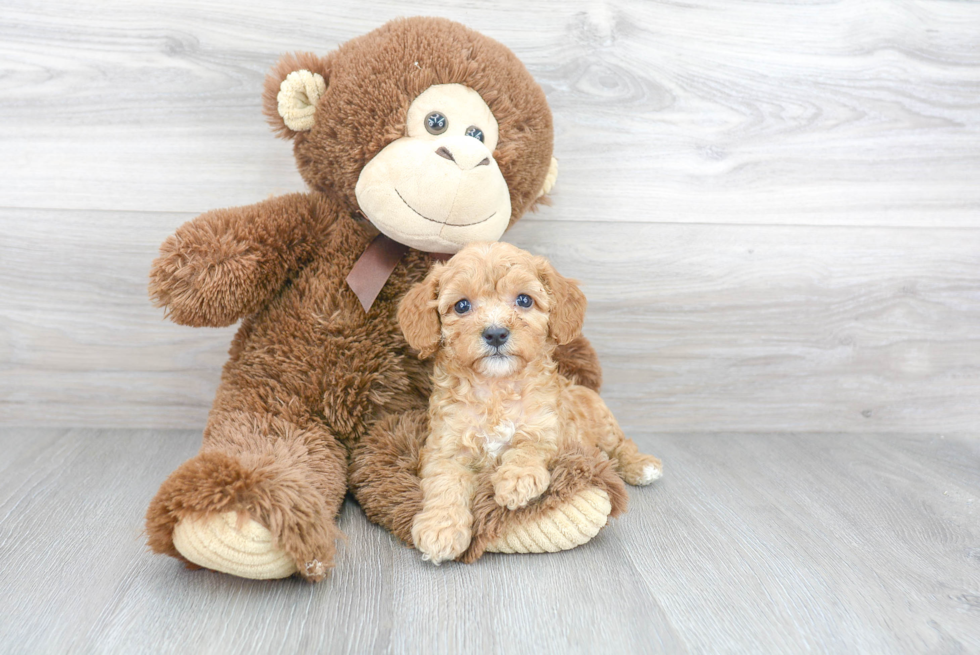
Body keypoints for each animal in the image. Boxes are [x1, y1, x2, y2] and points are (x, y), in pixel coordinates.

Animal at [398, 241, 668, 564]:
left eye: (524, 300)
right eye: (462, 306)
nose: (496, 333)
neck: (496, 388)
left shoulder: (546, 430)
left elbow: (528, 447)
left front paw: (517, 480)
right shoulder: (445, 448)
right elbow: (445, 483)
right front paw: (441, 530)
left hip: (602, 421)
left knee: (621, 445)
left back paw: (641, 466)